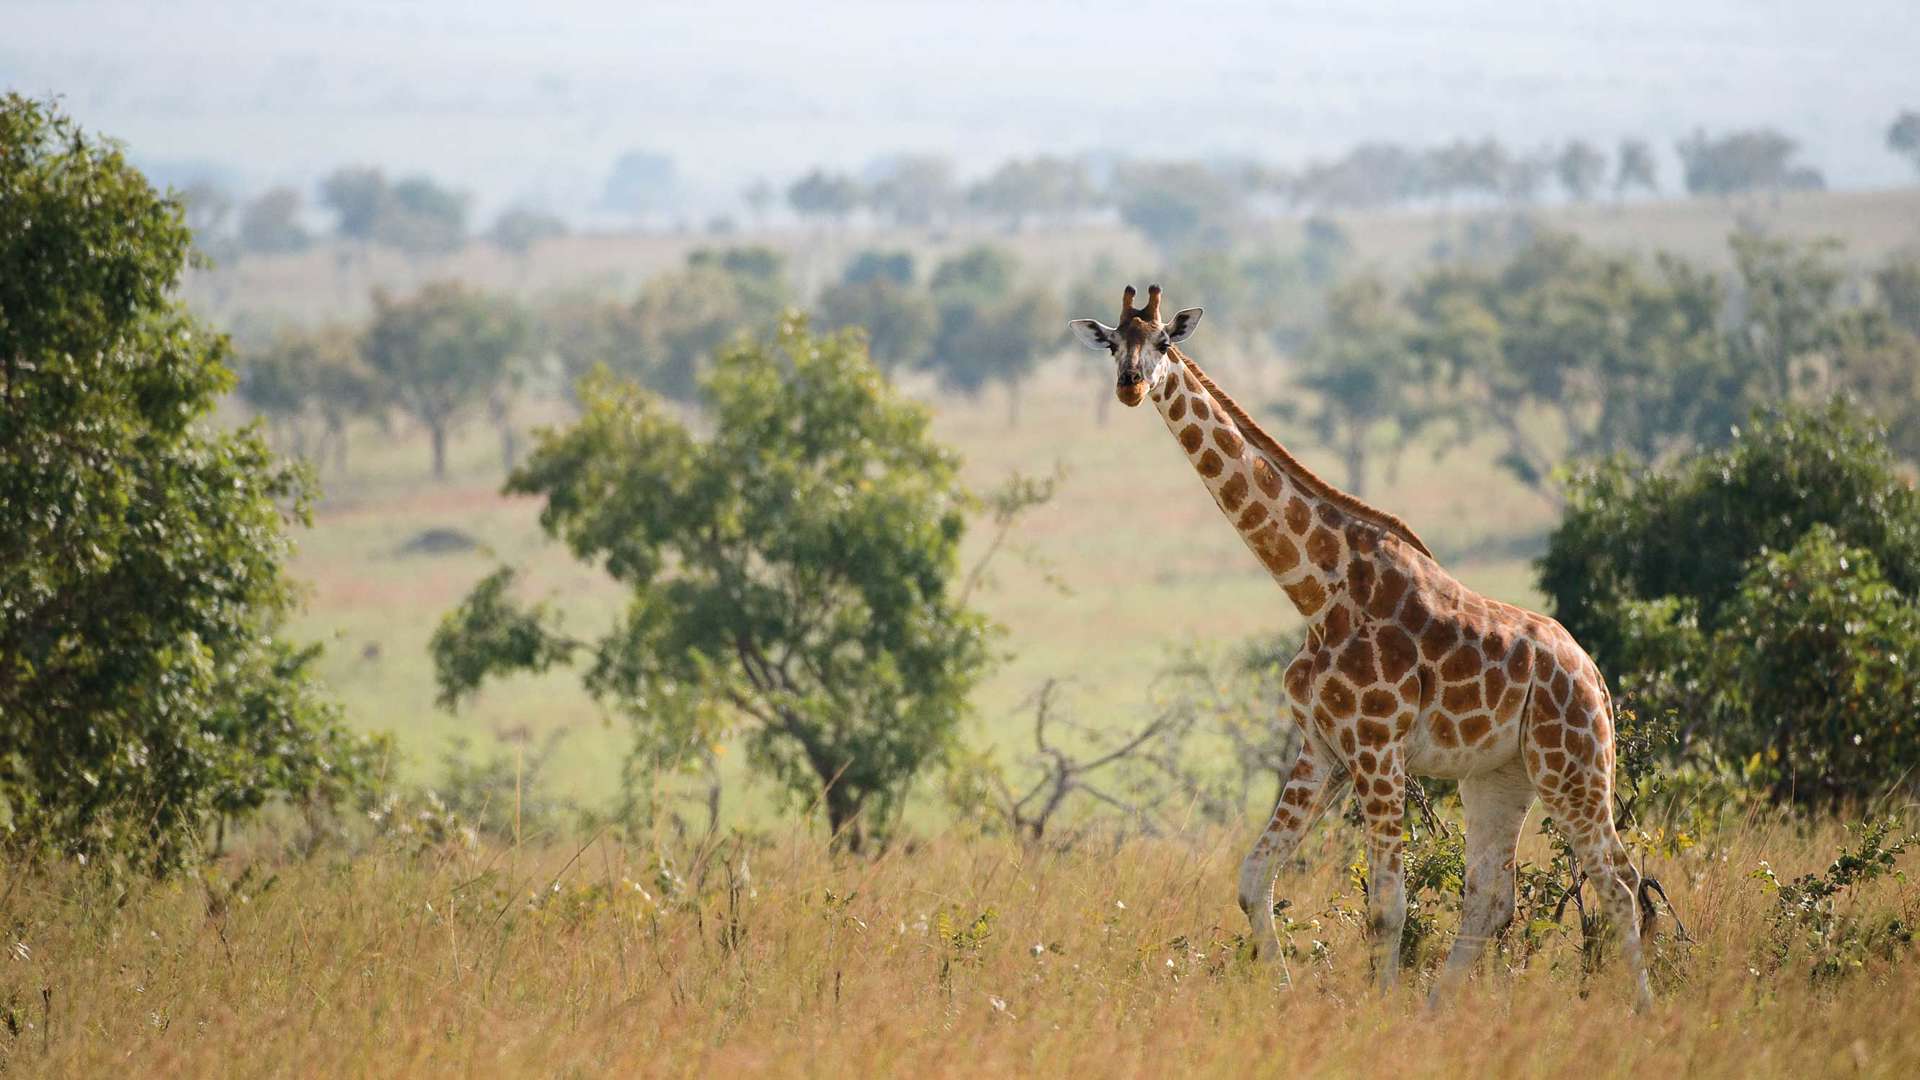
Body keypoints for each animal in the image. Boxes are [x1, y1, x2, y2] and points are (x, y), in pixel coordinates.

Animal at [1067, 282, 1651, 1006]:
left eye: (1164, 342)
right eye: (1113, 344)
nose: (1129, 385)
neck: (1319, 593)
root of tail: (1594, 676)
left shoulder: (1377, 747)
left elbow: (1386, 906)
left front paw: (1377, 1009)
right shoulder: (1324, 748)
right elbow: (1253, 879)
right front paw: (1288, 995)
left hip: (1572, 764)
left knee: (1619, 882)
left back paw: (1643, 1012)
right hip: (1499, 776)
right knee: (1492, 896)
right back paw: (1434, 1011)